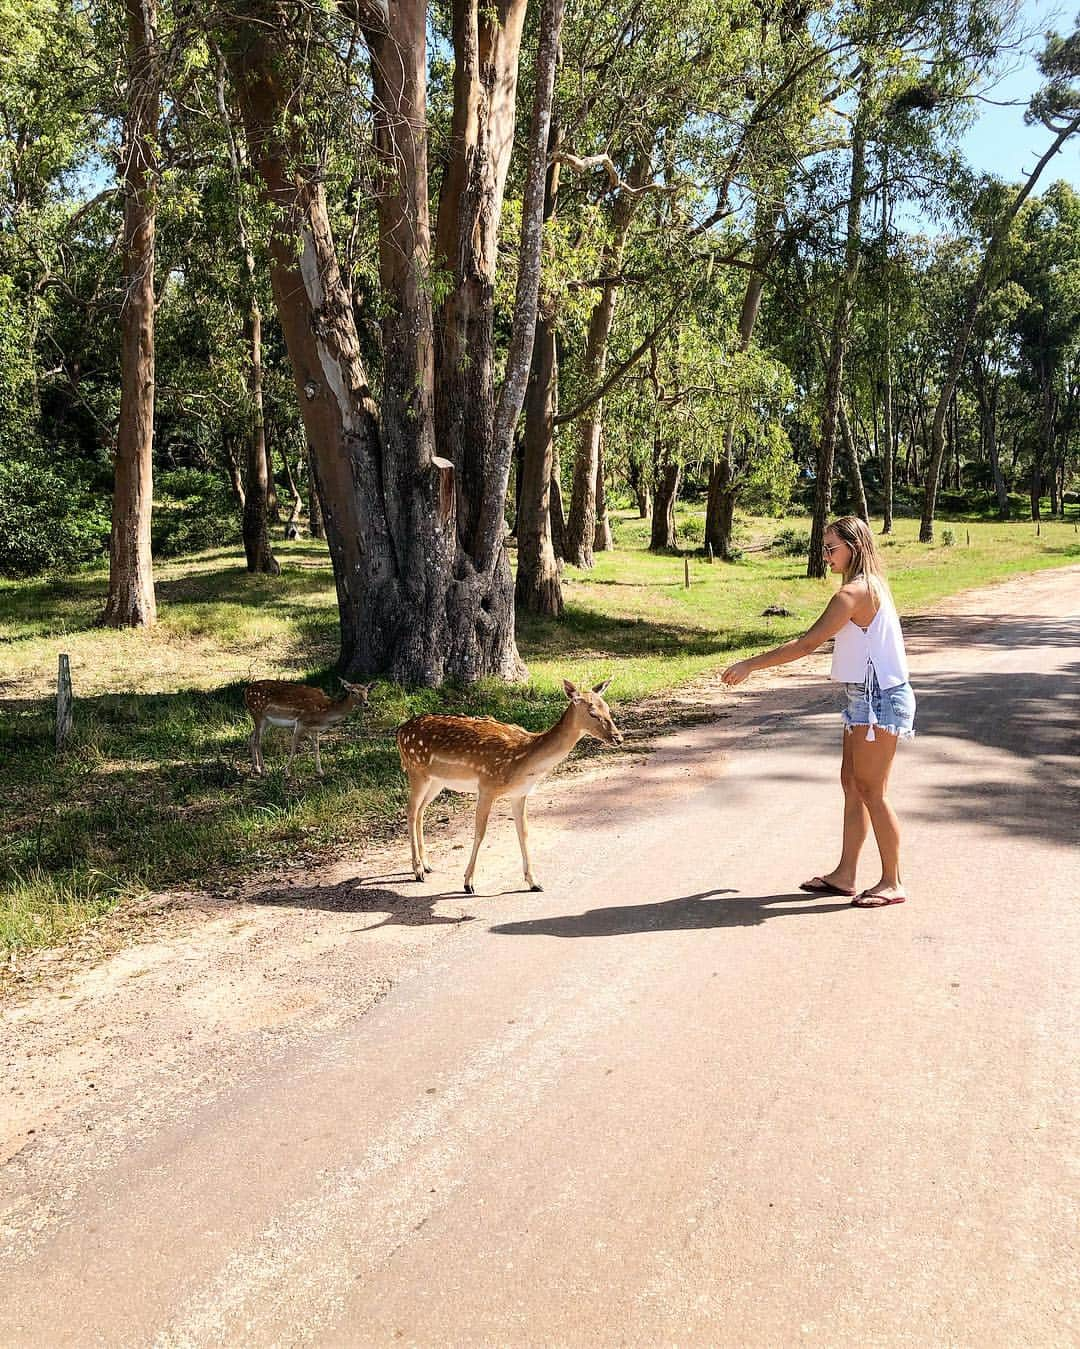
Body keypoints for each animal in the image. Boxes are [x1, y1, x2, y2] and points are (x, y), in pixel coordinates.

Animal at [242, 674, 372, 782]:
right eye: (353, 692)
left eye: (366, 691)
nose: (366, 703)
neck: (325, 712)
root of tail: (246, 690)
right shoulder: (300, 722)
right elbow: (294, 747)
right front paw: (286, 772)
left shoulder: (314, 729)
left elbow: (316, 747)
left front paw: (320, 772)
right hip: (258, 713)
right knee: (258, 741)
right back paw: (264, 771)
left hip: (266, 721)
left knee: (251, 736)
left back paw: (256, 768)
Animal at [393, 674, 622, 895]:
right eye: (592, 713)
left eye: (607, 709)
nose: (618, 738)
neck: (523, 759)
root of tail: (400, 731)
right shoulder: (487, 785)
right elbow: (480, 832)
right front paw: (468, 883)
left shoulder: (519, 793)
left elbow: (524, 832)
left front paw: (534, 882)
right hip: (417, 770)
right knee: (411, 810)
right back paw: (418, 870)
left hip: (437, 780)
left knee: (421, 811)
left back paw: (427, 864)